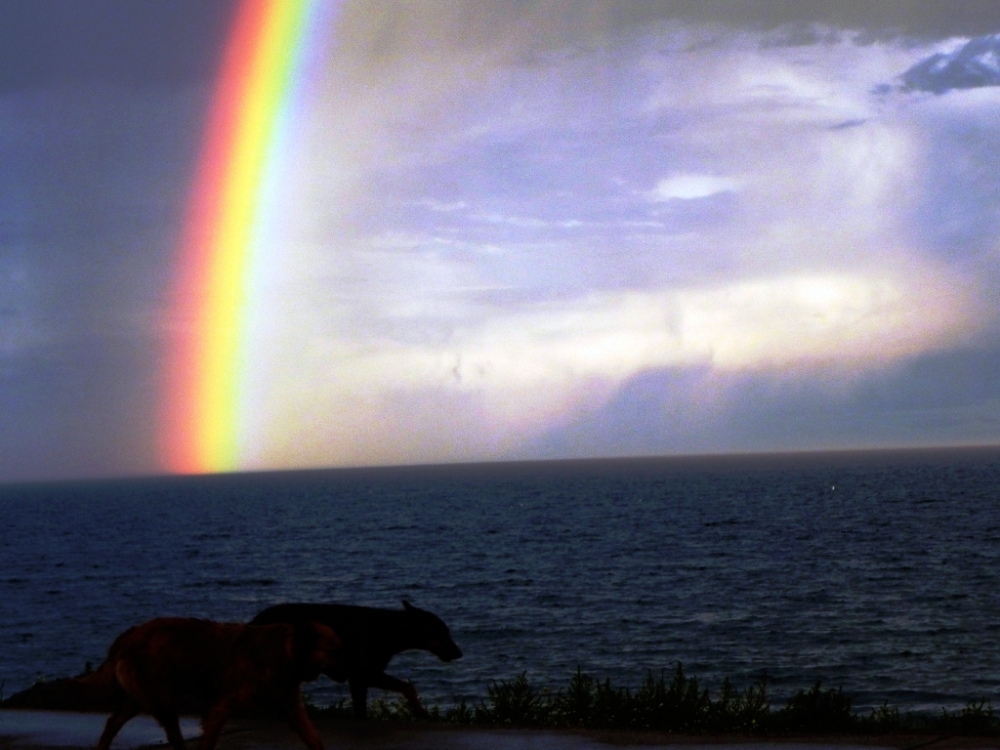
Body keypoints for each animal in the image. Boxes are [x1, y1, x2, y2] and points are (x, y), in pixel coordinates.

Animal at [94, 620, 344, 750]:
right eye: (333, 651)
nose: (347, 668)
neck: (286, 652)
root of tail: (128, 635)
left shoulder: (292, 708)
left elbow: (315, 740)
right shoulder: (221, 707)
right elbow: (208, 741)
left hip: (139, 699)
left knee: (112, 723)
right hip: (162, 699)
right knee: (173, 735)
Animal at [254, 604, 464, 720]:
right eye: (441, 632)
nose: (460, 653)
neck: (390, 629)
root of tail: (255, 621)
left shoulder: (363, 679)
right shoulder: (363, 675)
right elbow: (406, 687)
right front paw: (420, 711)